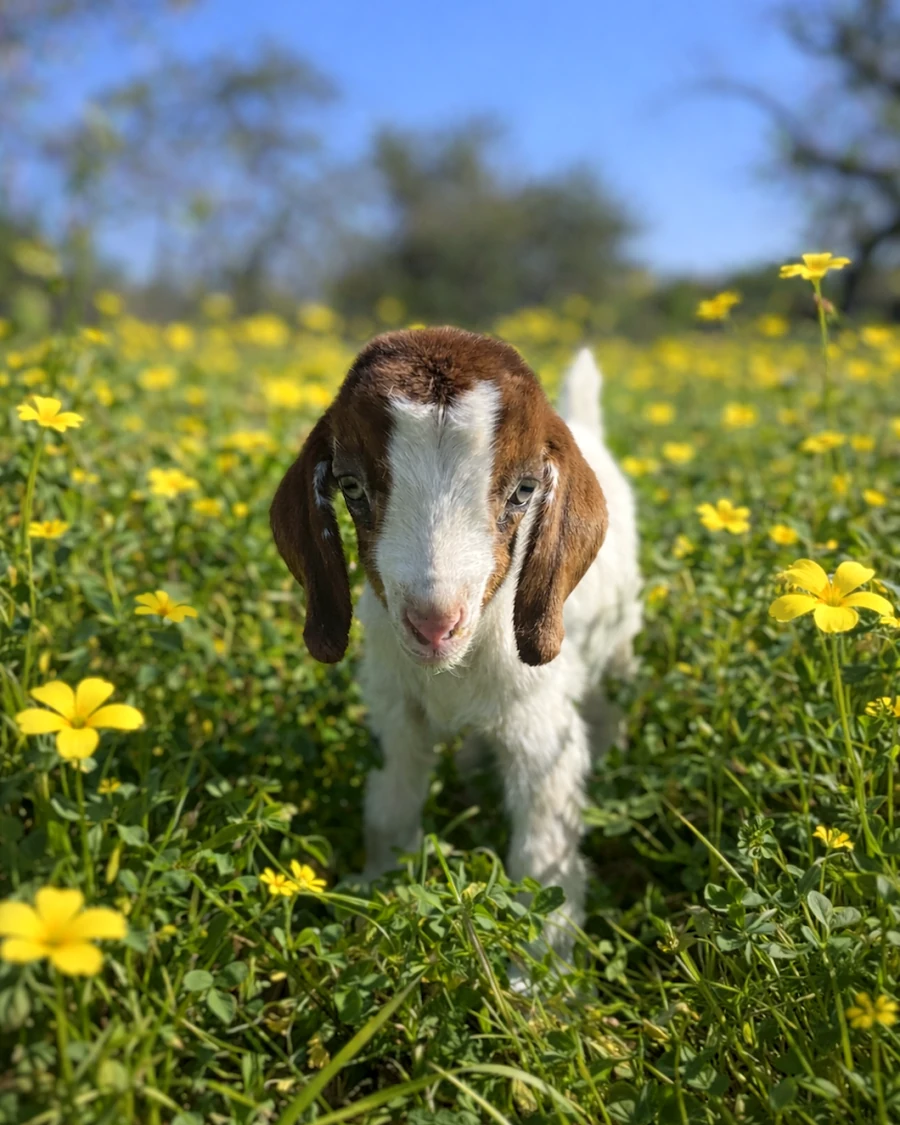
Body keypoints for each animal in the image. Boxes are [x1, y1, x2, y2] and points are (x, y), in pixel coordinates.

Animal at [270, 327, 641, 960]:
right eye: (351, 487)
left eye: (524, 490)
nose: (434, 624)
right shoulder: (396, 714)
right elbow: (390, 811)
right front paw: (375, 898)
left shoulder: (542, 730)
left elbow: (542, 856)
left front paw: (542, 975)